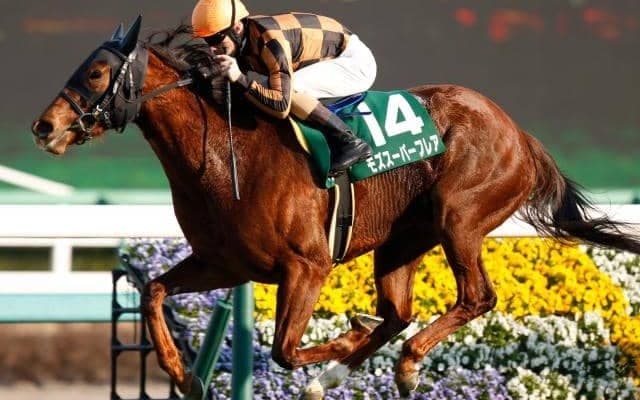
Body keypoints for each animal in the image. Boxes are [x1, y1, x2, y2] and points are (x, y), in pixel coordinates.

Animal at [31, 18, 640, 399]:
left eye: (95, 73)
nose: (44, 126)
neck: (226, 151)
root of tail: (520, 134)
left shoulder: (308, 265)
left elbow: (283, 349)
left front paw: (341, 342)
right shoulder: (225, 262)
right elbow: (155, 291)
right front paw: (183, 376)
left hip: (459, 218)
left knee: (475, 298)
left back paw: (401, 364)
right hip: (401, 241)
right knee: (398, 312)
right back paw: (352, 368)